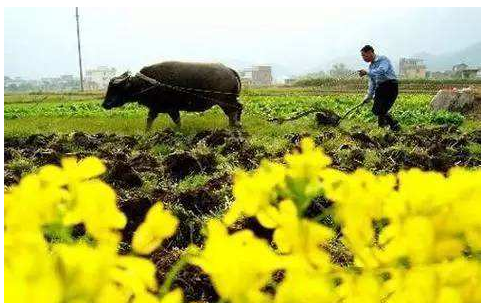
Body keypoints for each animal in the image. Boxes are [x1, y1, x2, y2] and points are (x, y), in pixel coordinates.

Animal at [103, 61, 243, 131]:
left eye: (115, 88)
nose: (104, 104)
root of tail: (229, 71)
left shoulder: (170, 109)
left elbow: (176, 121)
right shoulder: (156, 108)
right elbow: (150, 120)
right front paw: (147, 132)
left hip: (224, 101)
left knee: (233, 111)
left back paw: (233, 126)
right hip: (230, 100)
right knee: (239, 107)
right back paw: (235, 125)